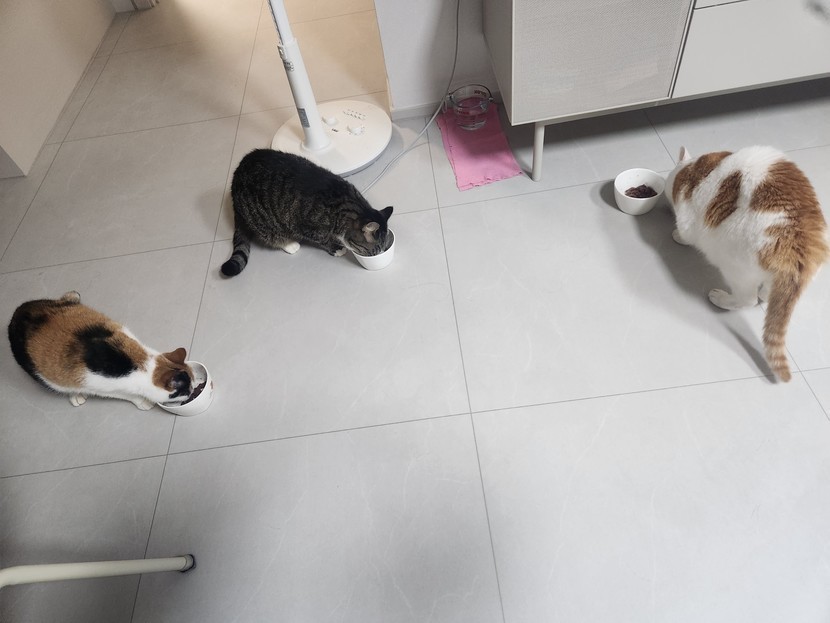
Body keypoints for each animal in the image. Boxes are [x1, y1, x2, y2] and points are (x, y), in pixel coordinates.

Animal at [8, 291, 194, 409]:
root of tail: (17, 312)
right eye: (186, 390)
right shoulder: (100, 387)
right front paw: (143, 401)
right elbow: (125, 395)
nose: (193, 390)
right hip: (42, 374)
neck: (142, 364)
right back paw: (75, 396)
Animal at [221, 149, 394, 277]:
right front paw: (336, 247)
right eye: (372, 253)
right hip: (262, 219)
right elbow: (323, 239)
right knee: (270, 235)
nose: (378, 255)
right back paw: (289, 244)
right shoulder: (307, 227)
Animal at [664, 145, 829, 382]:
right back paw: (764, 294)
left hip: (734, 265)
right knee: (766, 295)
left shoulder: (689, 218)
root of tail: (795, 243)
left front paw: (677, 235)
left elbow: (685, 234)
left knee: (748, 300)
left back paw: (721, 299)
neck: (692, 168)